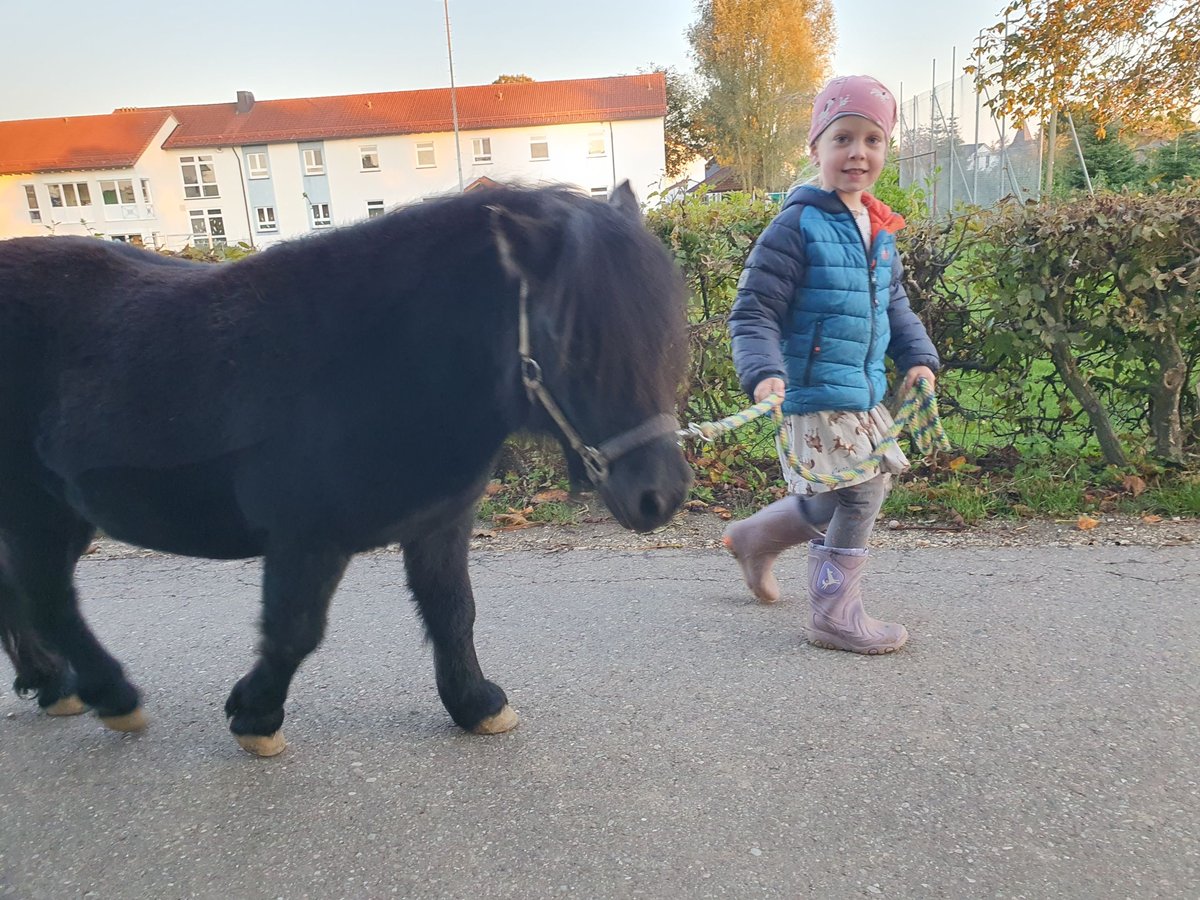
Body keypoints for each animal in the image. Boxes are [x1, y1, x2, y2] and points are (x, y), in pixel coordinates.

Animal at [0, 183, 691, 753]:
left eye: (665, 332)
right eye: (575, 344)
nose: (660, 495)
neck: (376, 363)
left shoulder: (439, 525)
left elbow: (453, 611)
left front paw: (475, 704)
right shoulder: (307, 539)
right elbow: (295, 630)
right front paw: (256, 716)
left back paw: (51, 682)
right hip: (37, 511)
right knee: (48, 596)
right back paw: (110, 695)